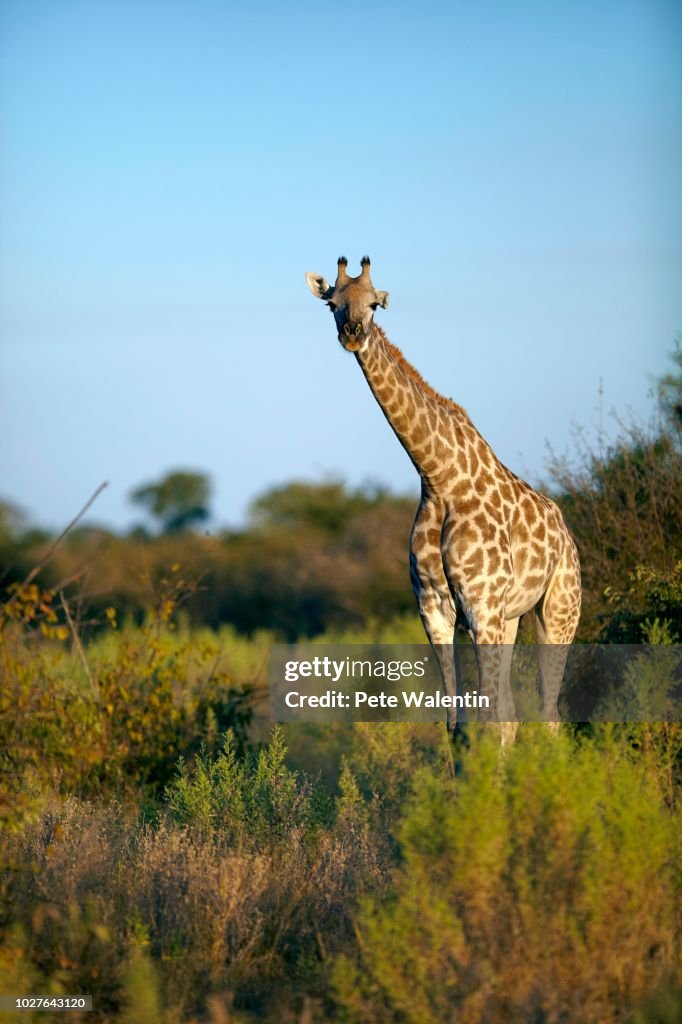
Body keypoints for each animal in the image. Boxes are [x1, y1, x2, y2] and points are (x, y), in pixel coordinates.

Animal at [307, 254, 577, 737]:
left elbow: (486, 716)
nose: (352, 334)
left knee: (548, 712)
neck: (438, 476)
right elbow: (457, 721)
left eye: (375, 304)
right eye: (332, 304)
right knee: (513, 711)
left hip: (559, 608)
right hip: (511, 617)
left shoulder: (480, 606)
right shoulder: (434, 608)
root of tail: (566, 531)